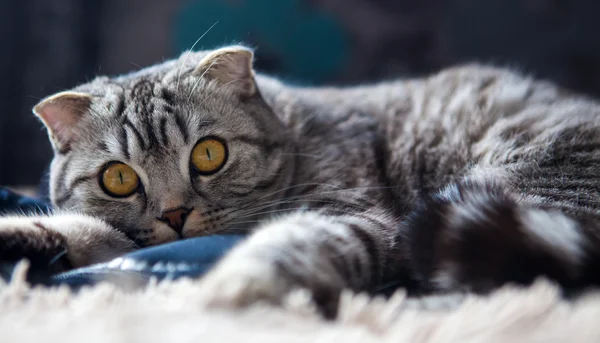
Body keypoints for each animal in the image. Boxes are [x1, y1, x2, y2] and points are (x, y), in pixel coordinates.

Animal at [1, 45, 600, 318]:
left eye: (209, 154)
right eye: (119, 178)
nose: (174, 215)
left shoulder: (354, 214)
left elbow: (295, 242)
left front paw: (227, 292)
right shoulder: (124, 234)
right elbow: (80, 231)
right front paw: (20, 238)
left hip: (512, 186)